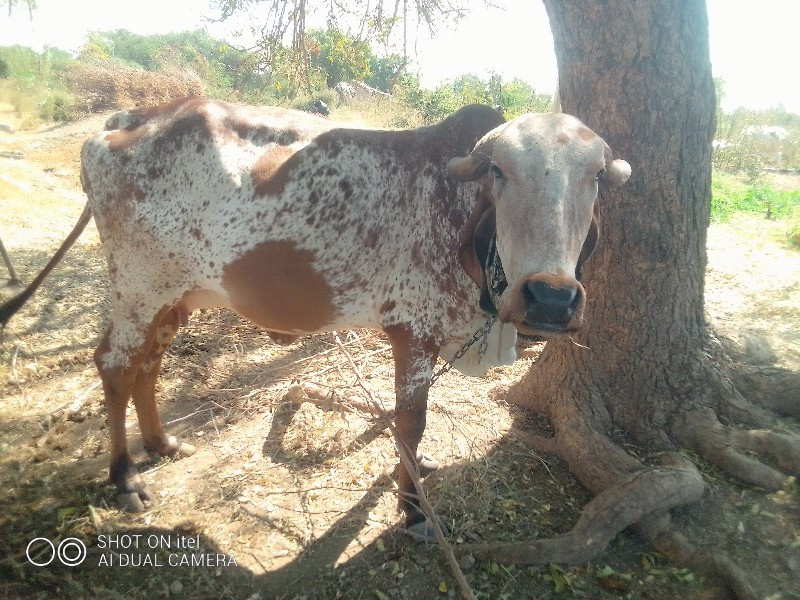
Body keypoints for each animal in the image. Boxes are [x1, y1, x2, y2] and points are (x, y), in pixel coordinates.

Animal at [0, 99, 632, 540]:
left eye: (596, 177)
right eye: (499, 171)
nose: (550, 298)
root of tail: (128, 120)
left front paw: (416, 476)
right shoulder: (414, 333)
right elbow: (410, 424)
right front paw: (412, 512)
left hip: (176, 295)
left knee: (148, 364)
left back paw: (160, 443)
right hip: (138, 284)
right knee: (114, 364)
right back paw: (125, 476)